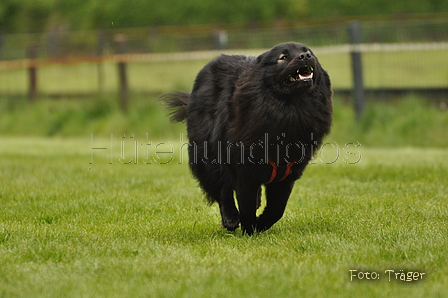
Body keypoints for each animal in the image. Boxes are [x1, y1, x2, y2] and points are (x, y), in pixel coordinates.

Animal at [163, 42, 330, 235]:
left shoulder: (287, 173)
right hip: (209, 155)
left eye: (309, 52)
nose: (305, 56)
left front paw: (260, 224)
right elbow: (246, 205)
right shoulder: (244, 170)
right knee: (222, 190)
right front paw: (249, 229)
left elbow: (277, 209)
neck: (289, 109)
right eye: (283, 57)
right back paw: (230, 219)